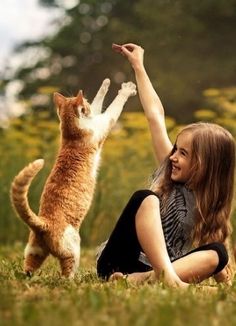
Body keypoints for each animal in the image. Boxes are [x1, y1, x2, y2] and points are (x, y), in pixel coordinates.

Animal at [10, 79, 136, 278]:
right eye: (85, 104)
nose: (86, 103)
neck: (71, 131)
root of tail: (43, 223)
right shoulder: (105, 122)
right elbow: (114, 106)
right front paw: (127, 89)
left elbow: (99, 99)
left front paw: (105, 84)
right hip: (74, 247)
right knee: (66, 272)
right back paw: (73, 279)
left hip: (33, 252)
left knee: (28, 268)